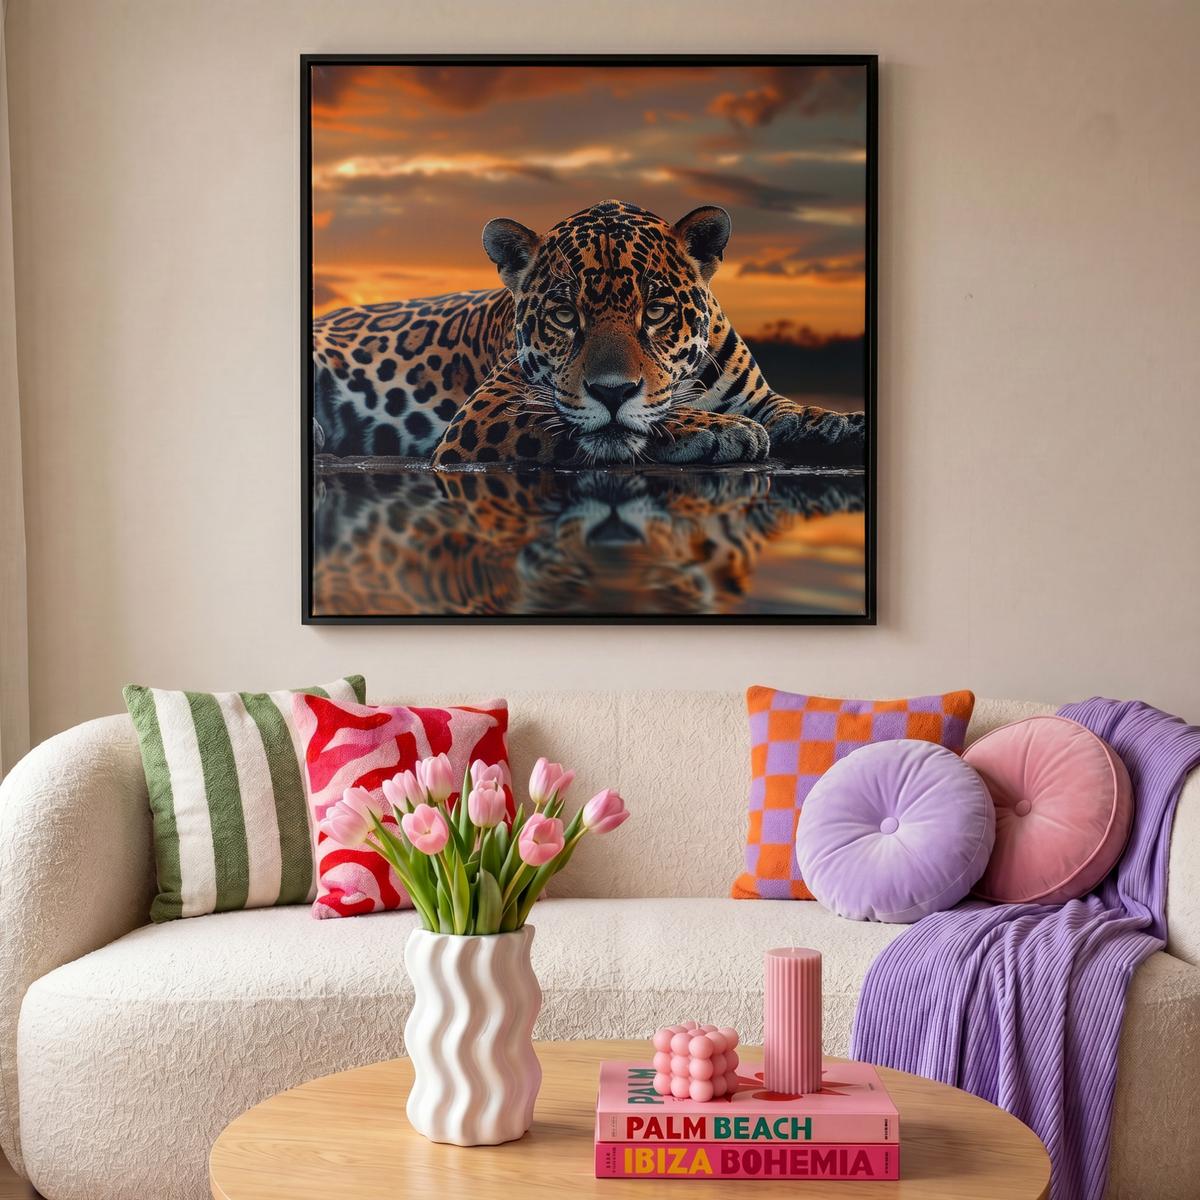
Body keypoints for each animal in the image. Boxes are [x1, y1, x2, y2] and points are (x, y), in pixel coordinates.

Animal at [312, 200, 864, 468]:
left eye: (656, 310)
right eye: (563, 315)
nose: (612, 392)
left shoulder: (760, 397)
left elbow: (794, 410)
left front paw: (843, 424)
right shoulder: (486, 411)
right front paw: (720, 429)